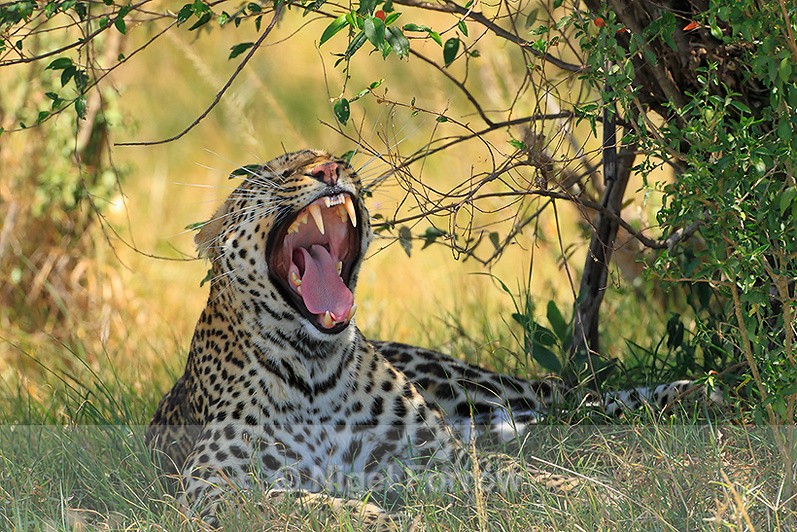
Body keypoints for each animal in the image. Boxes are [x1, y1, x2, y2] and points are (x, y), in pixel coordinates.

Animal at [146, 149, 717, 527]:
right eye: (274, 174)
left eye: (329, 158)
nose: (329, 170)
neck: (313, 367)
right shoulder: (213, 486)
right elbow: (301, 504)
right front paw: (389, 520)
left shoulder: (438, 455)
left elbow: (515, 473)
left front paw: (592, 491)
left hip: (470, 383)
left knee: (565, 396)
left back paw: (692, 392)